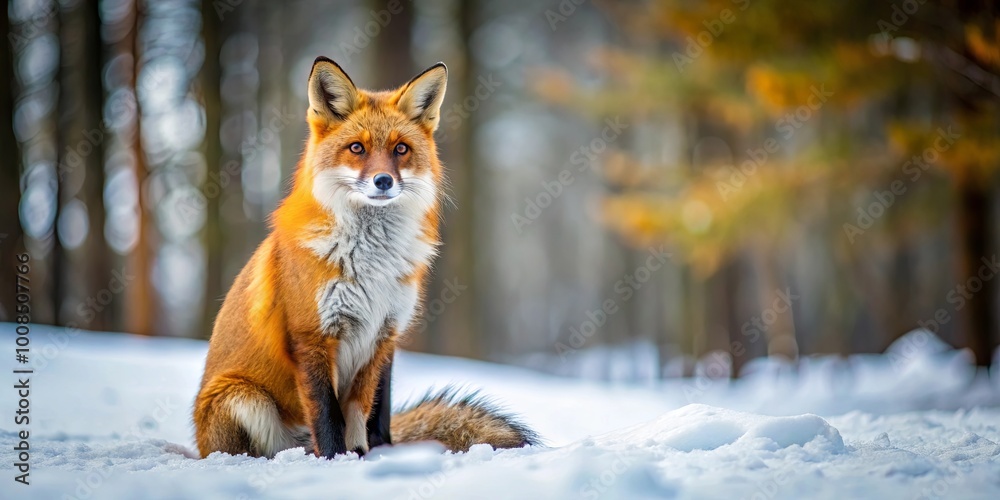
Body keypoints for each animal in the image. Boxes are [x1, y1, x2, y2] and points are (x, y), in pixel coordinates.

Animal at [193, 58, 537, 459]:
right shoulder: (313, 337)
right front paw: (334, 461)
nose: (383, 181)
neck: (371, 263)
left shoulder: (383, 337)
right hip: (245, 398)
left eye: (401, 149)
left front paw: (362, 457)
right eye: (357, 148)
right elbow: (328, 418)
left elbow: (363, 414)